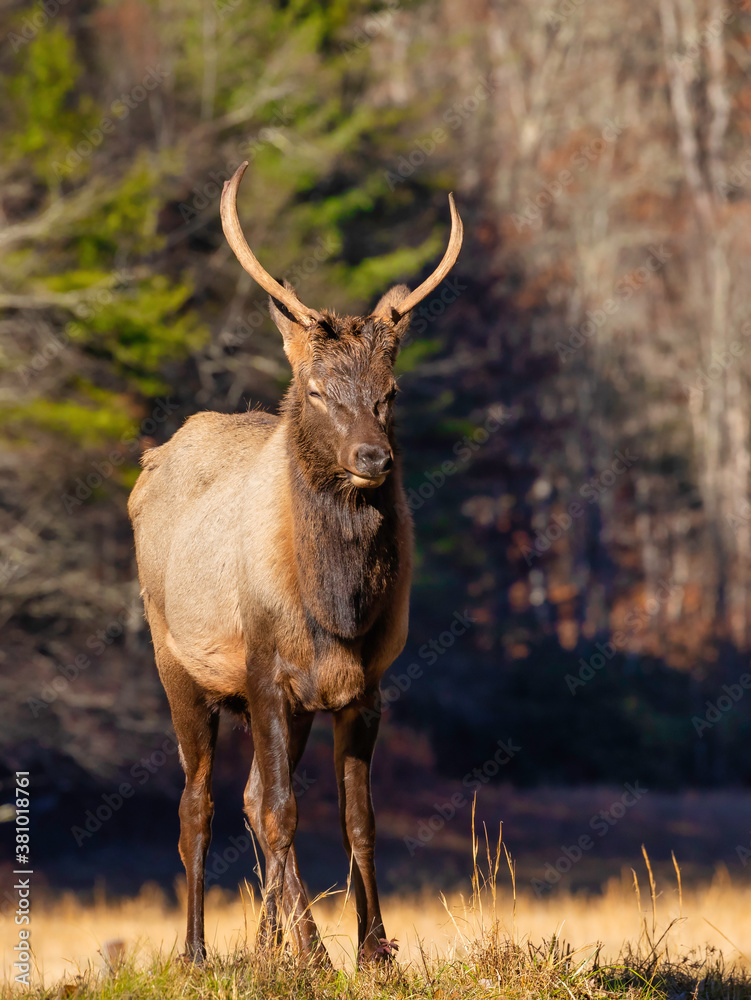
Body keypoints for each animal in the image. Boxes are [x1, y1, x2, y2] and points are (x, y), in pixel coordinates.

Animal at [127, 160, 463, 965]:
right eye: (316, 389)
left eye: (389, 392)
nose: (373, 457)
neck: (336, 609)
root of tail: (150, 464)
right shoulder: (263, 671)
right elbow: (281, 811)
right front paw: (314, 953)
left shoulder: (363, 686)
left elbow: (356, 820)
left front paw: (374, 951)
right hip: (175, 661)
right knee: (200, 802)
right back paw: (196, 951)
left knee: (248, 796)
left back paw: (262, 947)